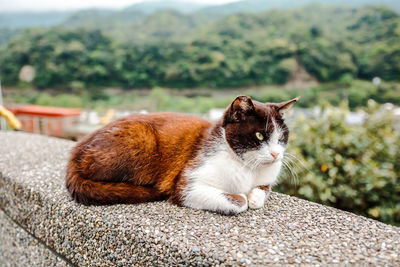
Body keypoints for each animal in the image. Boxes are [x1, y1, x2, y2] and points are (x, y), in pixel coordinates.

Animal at [66, 96, 296, 216]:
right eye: (259, 135)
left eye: (282, 137)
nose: (276, 154)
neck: (247, 168)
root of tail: (76, 151)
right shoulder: (187, 184)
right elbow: (240, 202)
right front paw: (244, 197)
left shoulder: (266, 178)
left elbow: (261, 191)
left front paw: (255, 196)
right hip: (142, 138)